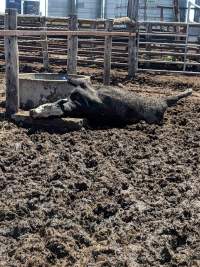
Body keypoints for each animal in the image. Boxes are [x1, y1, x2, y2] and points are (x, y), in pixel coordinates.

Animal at [30, 78, 192, 126]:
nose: (32, 112)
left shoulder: (84, 88)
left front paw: (66, 77)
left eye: (46, 106)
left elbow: (77, 81)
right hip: (156, 108)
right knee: (171, 100)